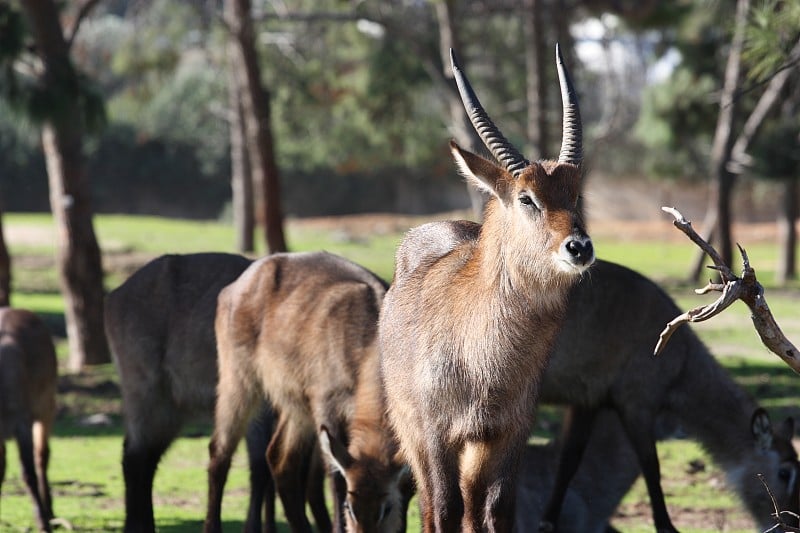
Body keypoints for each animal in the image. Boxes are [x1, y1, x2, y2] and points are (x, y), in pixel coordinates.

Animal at [0, 306, 57, 528]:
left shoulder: (22, 421)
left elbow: (28, 473)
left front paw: (43, 523)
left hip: (46, 402)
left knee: (42, 455)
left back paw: (50, 511)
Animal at [205, 251, 412, 532]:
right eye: (350, 507)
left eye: (386, 508)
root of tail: (240, 281)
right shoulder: (327, 408)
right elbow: (336, 479)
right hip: (238, 381)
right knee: (219, 453)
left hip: (296, 406)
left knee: (280, 460)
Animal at [380, 46, 592, 532]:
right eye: (527, 198)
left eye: (575, 196)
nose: (579, 247)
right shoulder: (436, 432)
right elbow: (444, 507)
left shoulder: (509, 434)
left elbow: (498, 510)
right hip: (413, 432)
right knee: (433, 503)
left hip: (477, 447)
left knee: (474, 505)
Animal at [536, 258, 800, 532]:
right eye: (784, 473)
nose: (788, 523)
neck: (682, 361)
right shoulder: (637, 404)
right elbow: (651, 466)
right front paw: (666, 526)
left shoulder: (587, 401)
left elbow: (569, 462)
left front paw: (548, 523)